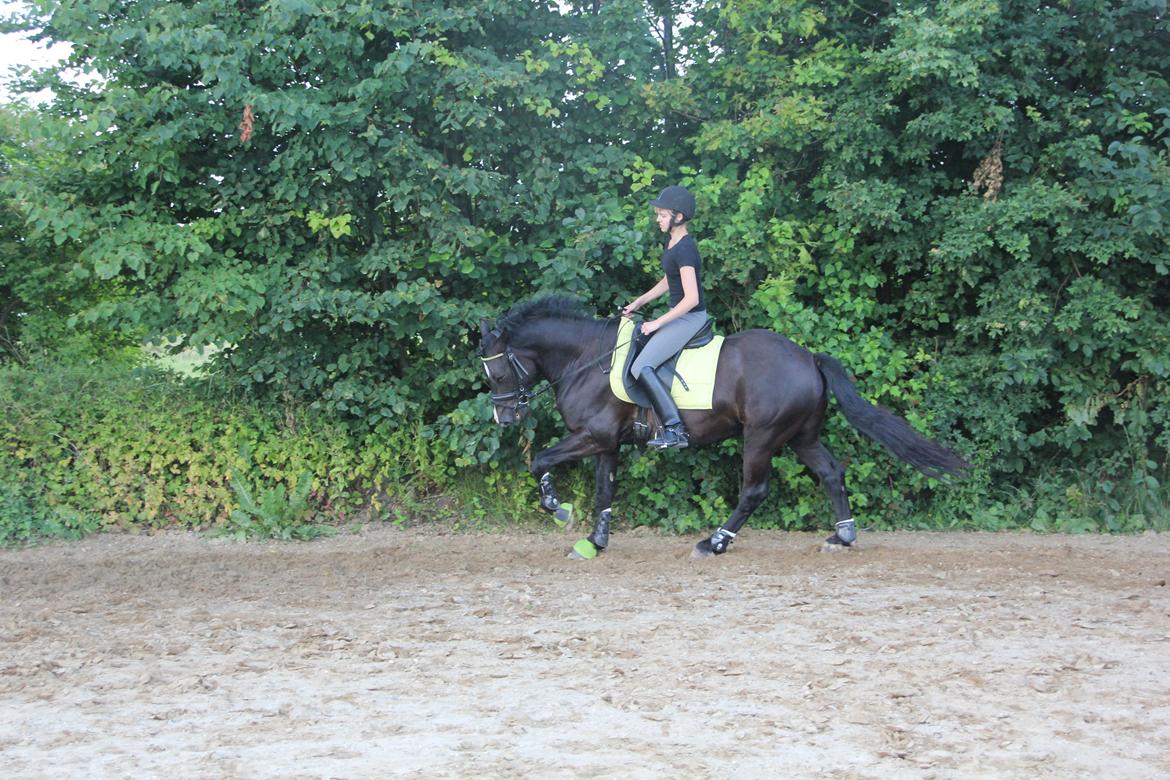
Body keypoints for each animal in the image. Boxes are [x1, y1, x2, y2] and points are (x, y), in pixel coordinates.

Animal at [477, 295, 968, 558]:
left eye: (498, 373)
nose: (506, 417)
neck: (586, 359)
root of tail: (809, 358)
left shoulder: (593, 436)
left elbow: (540, 460)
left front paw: (557, 508)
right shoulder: (607, 442)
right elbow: (604, 490)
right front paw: (595, 542)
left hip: (763, 436)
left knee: (754, 490)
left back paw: (714, 541)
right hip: (800, 436)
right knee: (831, 472)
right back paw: (842, 536)